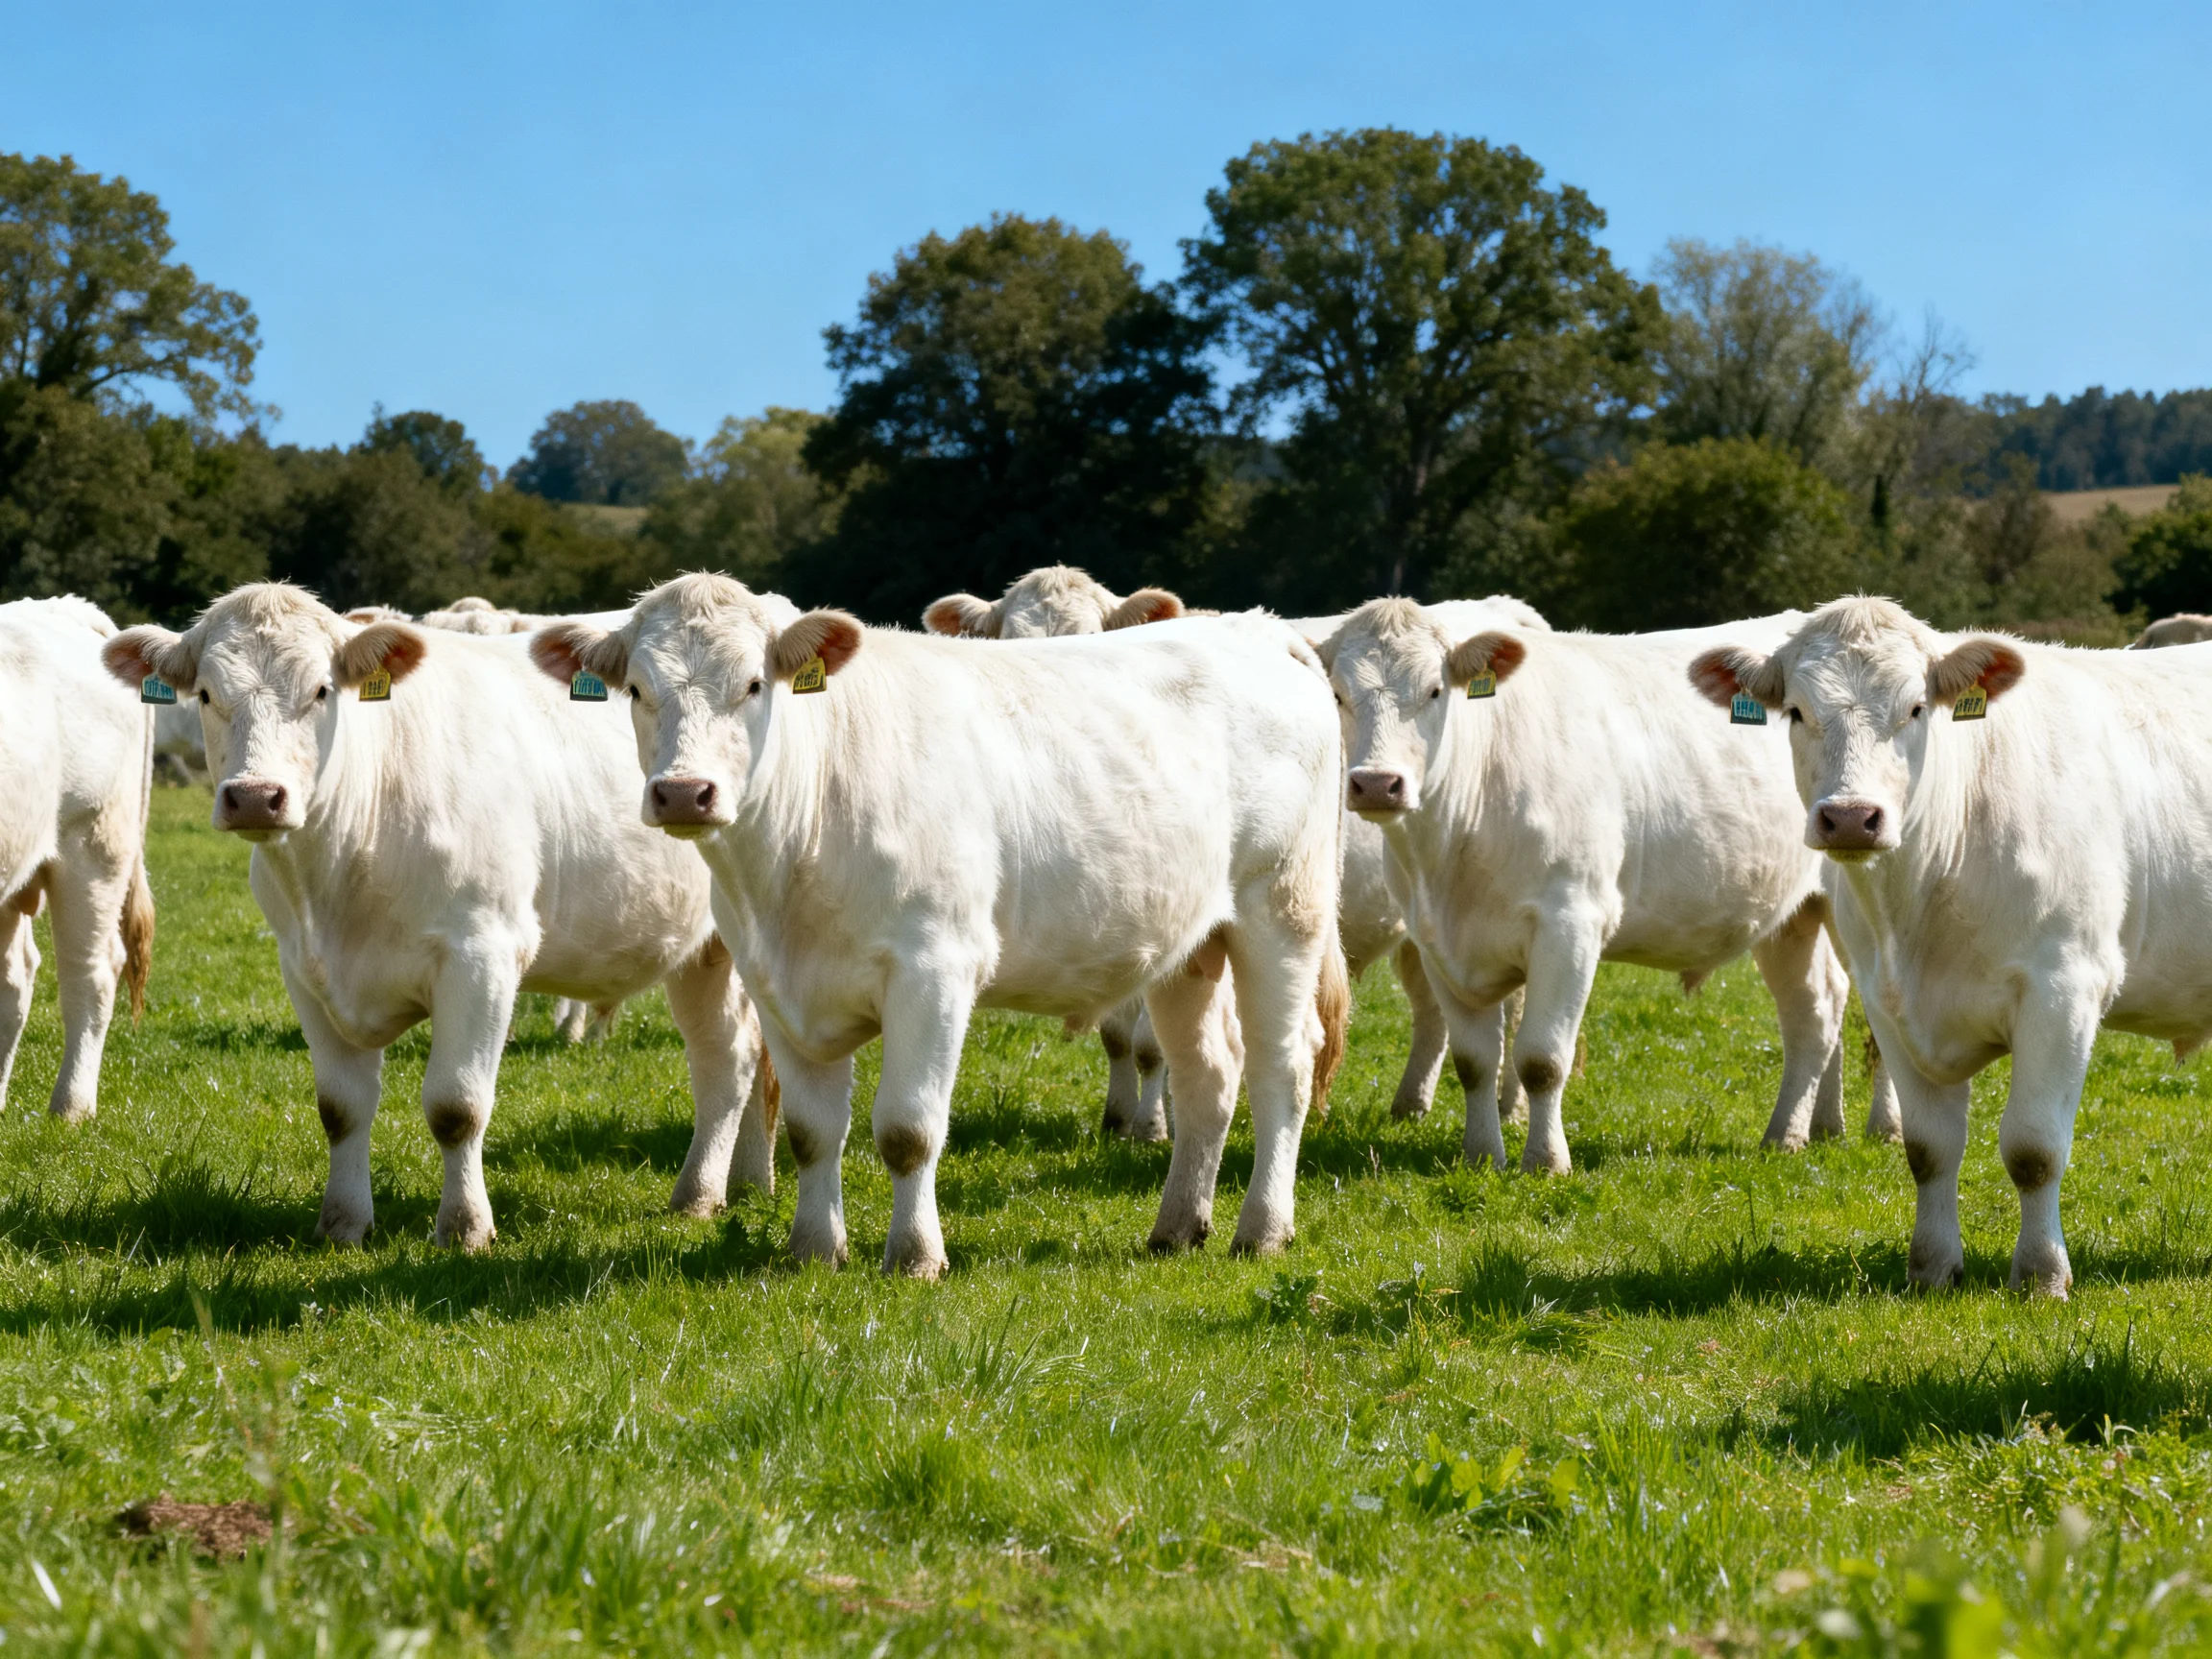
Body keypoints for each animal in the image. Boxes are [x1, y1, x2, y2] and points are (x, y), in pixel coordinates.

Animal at [101, 584, 776, 1250]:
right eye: (207, 695)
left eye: (320, 690)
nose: (255, 797)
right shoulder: (304, 969)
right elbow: (340, 1107)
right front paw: (342, 1225)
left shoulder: (482, 957)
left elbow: (457, 1107)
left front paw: (464, 1228)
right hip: (700, 955)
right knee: (727, 1057)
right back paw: (735, 1185)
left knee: (732, 1060)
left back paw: (706, 1192)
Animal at [531, 574, 1348, 1277]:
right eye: (638, 690)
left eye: (755, 686)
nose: (682, 792)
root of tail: (1259, 628)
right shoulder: (775, 986)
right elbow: (811, 1132)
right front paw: (814, 1250)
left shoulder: (935, 970)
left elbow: (907, 1129)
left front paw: (916, 1256)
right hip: (1191, 944)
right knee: (1209, 1072)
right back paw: (1178, 1226)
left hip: (1283, 910)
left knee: (1281, 1066)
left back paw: (1262, 1229)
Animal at [1321, 599, 1860, 1175]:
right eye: (1338, 695)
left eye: (1434, 690)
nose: (1377, 784)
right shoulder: (1435, 942)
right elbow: (1474, 1062)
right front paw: (1482, 1156)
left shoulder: (1570, 925)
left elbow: (1541, 1059)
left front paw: (1546, 1161)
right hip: (1789, 918)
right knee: (1815, 1010)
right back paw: (1794, 1133)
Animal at [1689, 597, 2212, 1298]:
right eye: (1796, 711)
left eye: (1915, 708)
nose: (1851, 817)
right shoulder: (1888, 1002)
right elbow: (1928, 1148)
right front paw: (1933, 1268)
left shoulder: (2064, 988)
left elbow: (2033, 1148)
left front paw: (2041, 1275)